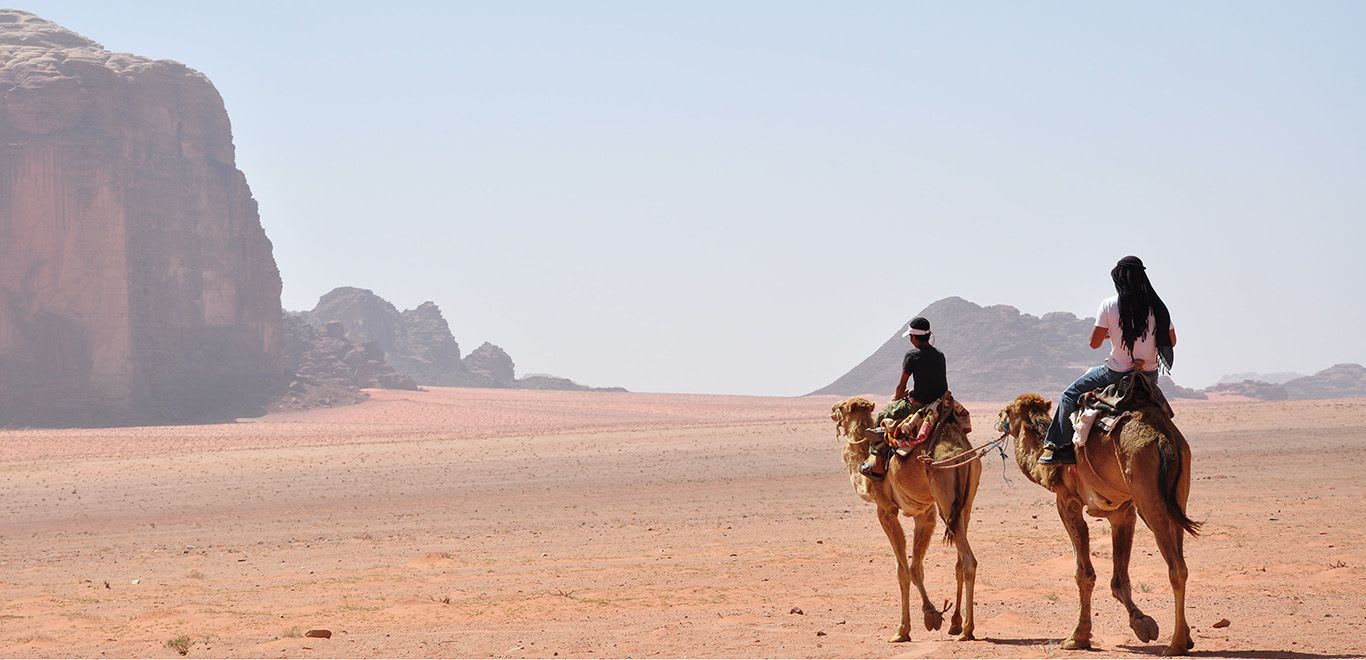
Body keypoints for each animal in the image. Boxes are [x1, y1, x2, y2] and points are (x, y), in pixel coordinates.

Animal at [825, 401, 978, 642]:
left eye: (840, 408)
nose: (832, 410)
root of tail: (961, 455)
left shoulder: (886, 510)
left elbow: (903, 571)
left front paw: (904, 629)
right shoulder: (924, 513)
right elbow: (916, 567)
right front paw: (932, 615)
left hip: (945, 498)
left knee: (969, 561)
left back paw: (966, 630)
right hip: (964, 505)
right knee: (960, 562)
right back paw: (956, 623)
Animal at [999, 393, 1202, 655]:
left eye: (1007, 411)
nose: (998, 419)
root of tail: (1163, 437)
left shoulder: (1067, 501)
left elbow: (1083, 574)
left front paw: (1077, 637)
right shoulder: (1121, 511)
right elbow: (1119, 578)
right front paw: (1142, 624)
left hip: (1148, 495)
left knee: (1176, 568)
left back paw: (1175, 645)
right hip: (1178, 493)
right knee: (1181, 559)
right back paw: (1185, 638)